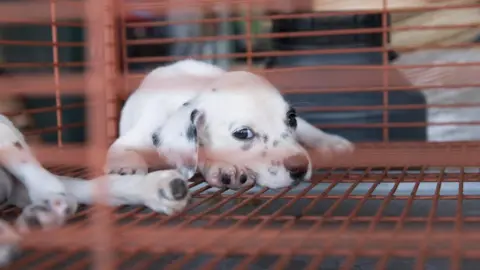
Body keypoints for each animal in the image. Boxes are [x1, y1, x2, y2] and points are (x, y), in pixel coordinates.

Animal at [105, 59, 352, 190]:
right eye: (243, 133)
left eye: (290, 118)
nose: (299, 167)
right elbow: (123, 151)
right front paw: (125, 168)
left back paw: (333, 144)